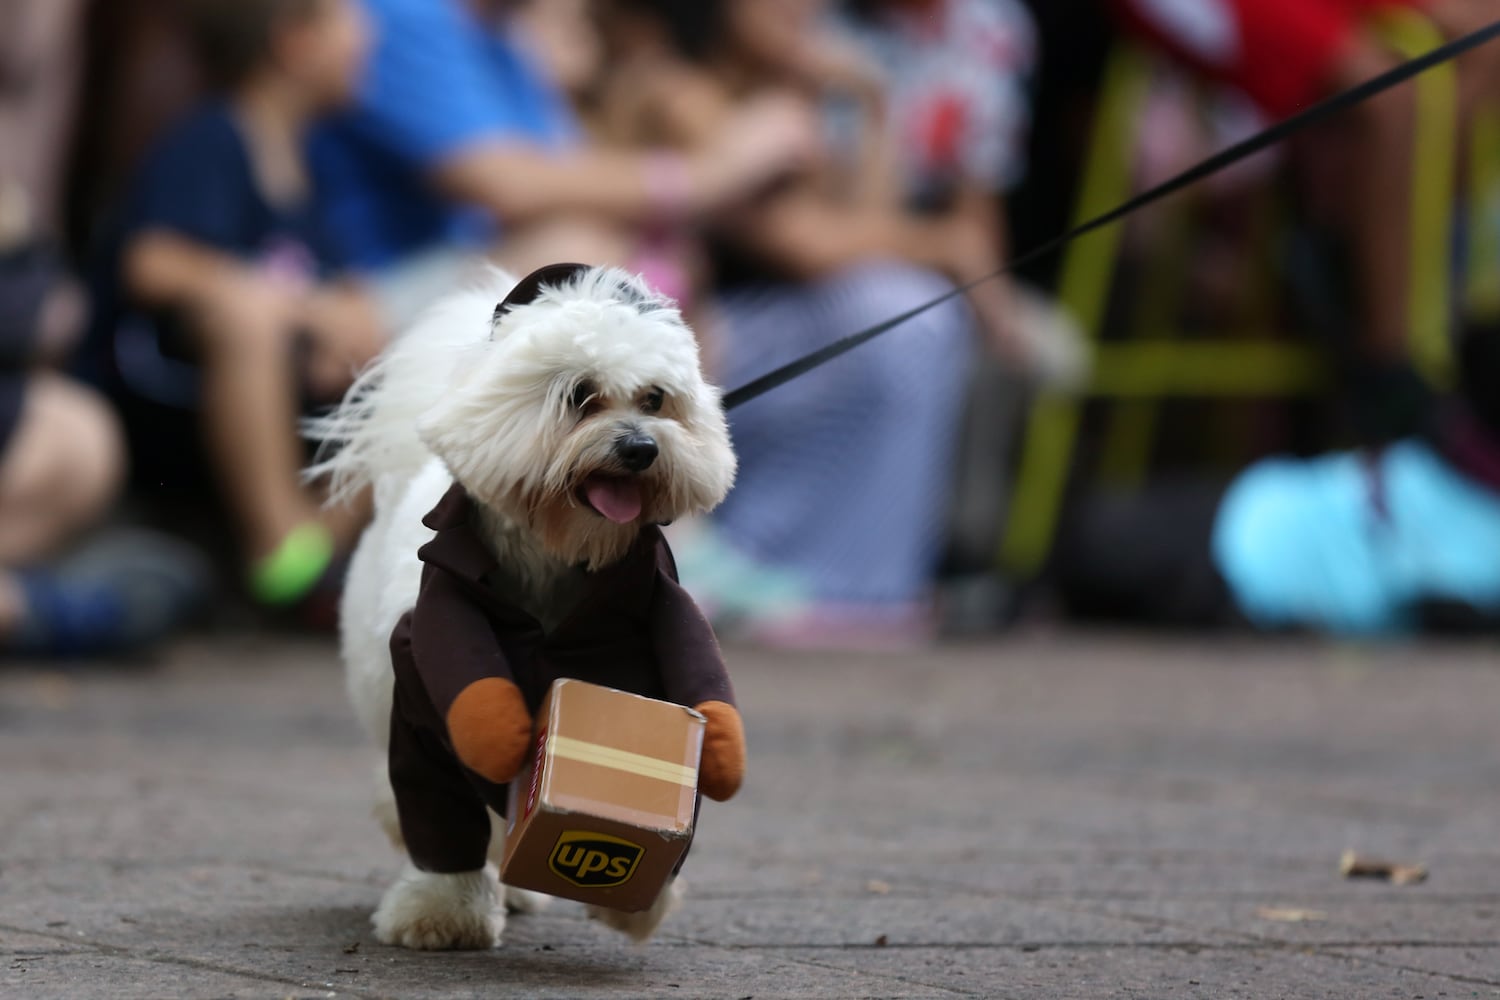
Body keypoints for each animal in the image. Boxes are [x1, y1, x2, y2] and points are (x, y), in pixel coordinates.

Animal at [312, 262, 738, 953]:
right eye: (579, 394)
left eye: (656, 399)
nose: (642, 448)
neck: (554, 560)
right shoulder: (426, 701)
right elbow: (439, 810)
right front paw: (442, 911)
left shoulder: (651, 679)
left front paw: (638, 902)